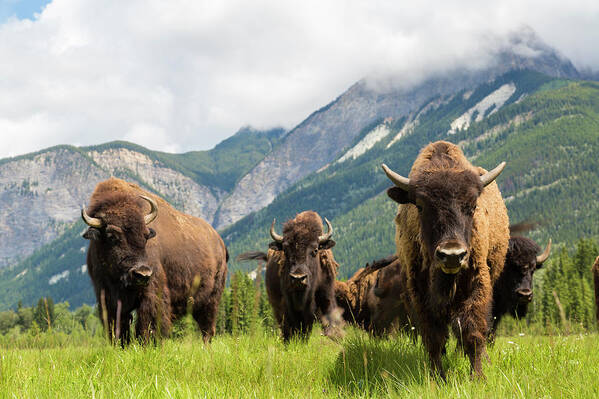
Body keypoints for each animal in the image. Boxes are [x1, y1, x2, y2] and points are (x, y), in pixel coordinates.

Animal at [82, 178, 227, 344]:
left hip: (211, 299)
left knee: (207, 328)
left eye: (145, 235)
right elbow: (118, 326)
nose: (142, 273)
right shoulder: (107, 296)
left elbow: (147, 323)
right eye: (111, 236)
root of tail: (220, 242)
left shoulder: (151, 292)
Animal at [382, 141, 508, 382]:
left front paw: (478, 377)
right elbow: (433, 337)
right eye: (420, 206)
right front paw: (437, 377)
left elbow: (473, 332)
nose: (452, 254)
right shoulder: (420, 293)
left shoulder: (477, 284)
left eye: (472, 205)